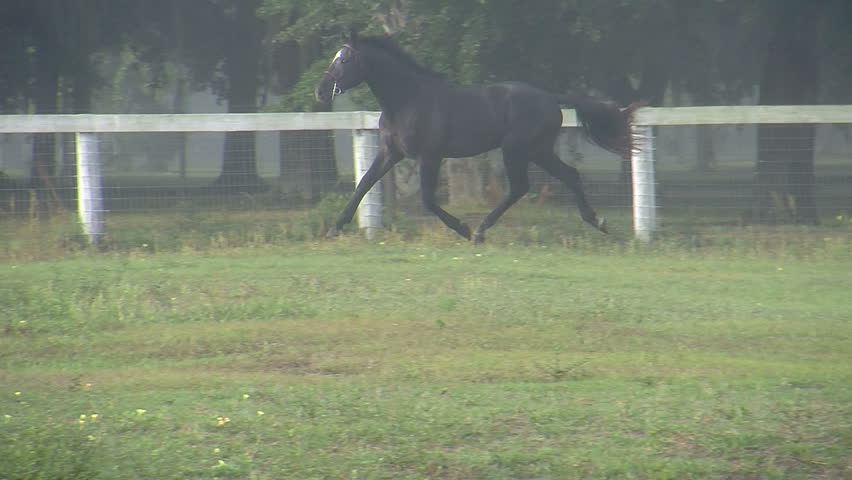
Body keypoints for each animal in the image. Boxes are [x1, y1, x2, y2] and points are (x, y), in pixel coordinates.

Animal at [316, 32, 638, 243]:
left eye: (344, 60)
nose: (320, 91)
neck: (408, 100)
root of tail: (550, 97)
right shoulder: (390, 152)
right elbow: (363, 184)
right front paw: (334, 228)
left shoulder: (430, 156)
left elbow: (428, 200)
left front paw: (463, 229)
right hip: (538, 151)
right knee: (569, 175)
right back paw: (598, 221)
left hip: (516, 149)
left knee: (520, 187)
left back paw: (481, 230)